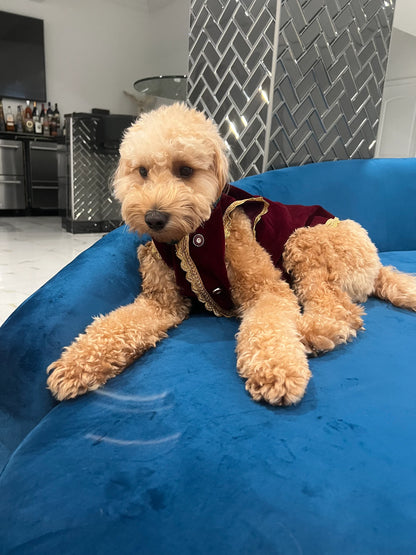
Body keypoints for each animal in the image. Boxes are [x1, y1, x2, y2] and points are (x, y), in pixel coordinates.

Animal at [47, 104, 416, 406]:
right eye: (142, 171)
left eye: (185, 171)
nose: (153, 218)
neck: (187, 237)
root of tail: (377, 266)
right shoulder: (160, 303)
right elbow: (115, 325)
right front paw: (76, 364)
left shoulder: (266, 288)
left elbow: (268, 325)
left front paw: (276, 368)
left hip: (307, 242)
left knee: (342, 311)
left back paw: (311, 332)